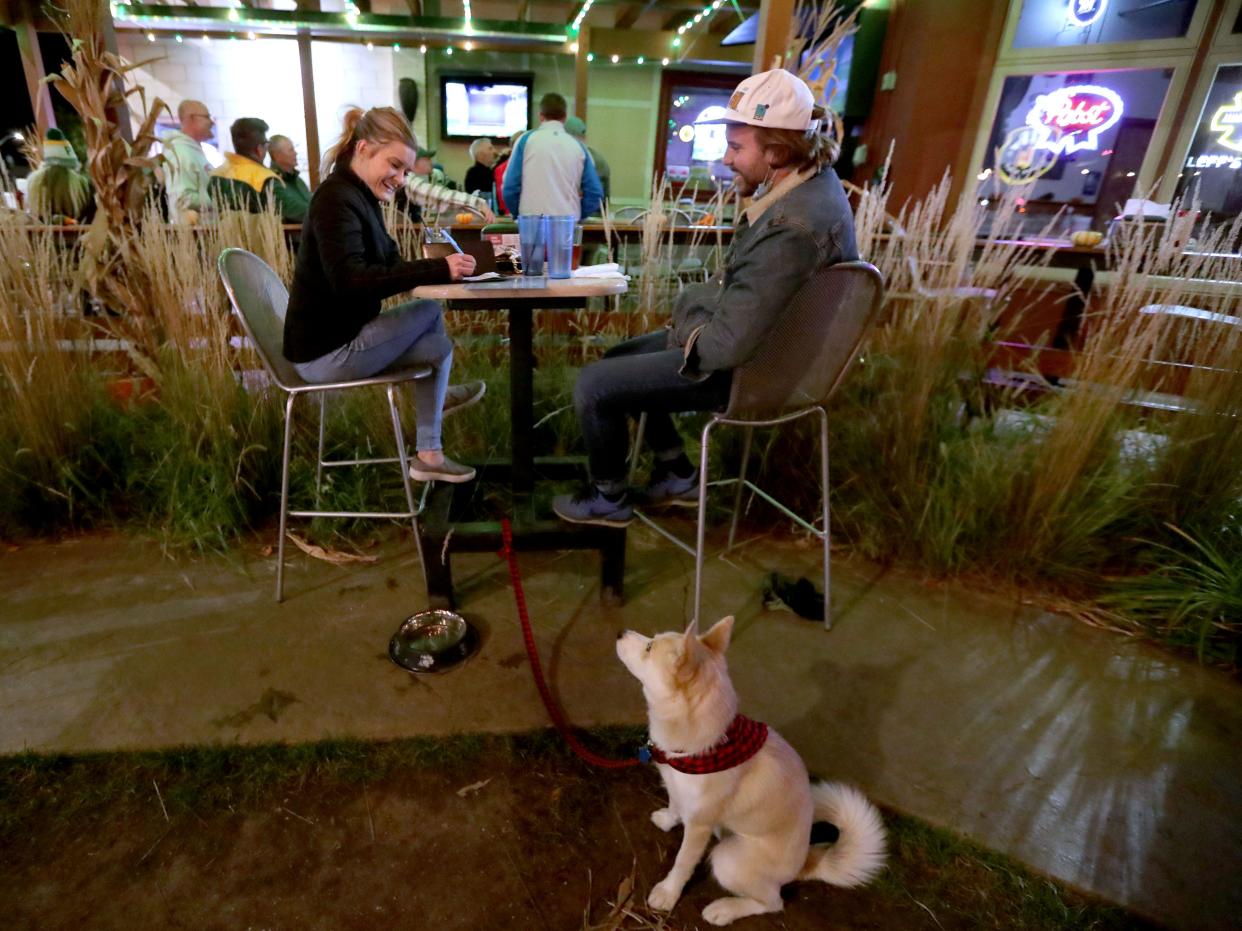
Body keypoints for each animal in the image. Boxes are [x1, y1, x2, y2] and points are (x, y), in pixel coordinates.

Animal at [616, 615, 889, 928]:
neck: (707, 745)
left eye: (649, 647)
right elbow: (675, 803)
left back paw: (724, 909)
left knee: (773, 902)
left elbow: (682, 863)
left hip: (727, 858)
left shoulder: (700, 827)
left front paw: (668, 893)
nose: (620, 632)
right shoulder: (677, 787)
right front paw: (668, 819)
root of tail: (805, 862)